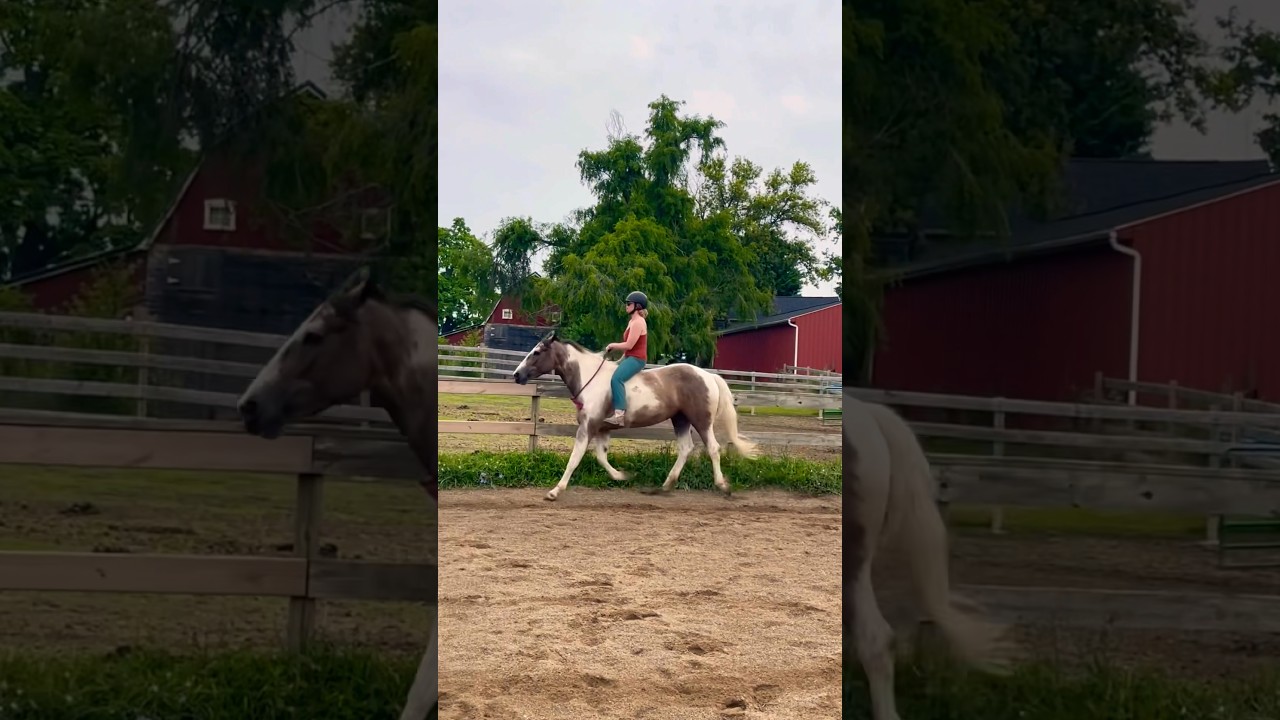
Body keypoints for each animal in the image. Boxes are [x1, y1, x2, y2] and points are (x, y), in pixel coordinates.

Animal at [512, 331, 758, 501]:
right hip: (680, 419)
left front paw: (555, 491)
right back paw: (666, 485)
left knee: (713, 448)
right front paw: (623, 476)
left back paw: (723, 486)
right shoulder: (601, 429)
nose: (516, 375)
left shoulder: (588, 427)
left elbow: (575, 459)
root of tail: (708, 375)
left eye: (536, 352)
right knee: (685, 448)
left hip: (701, 421)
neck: (590, 379)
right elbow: (601, 457)